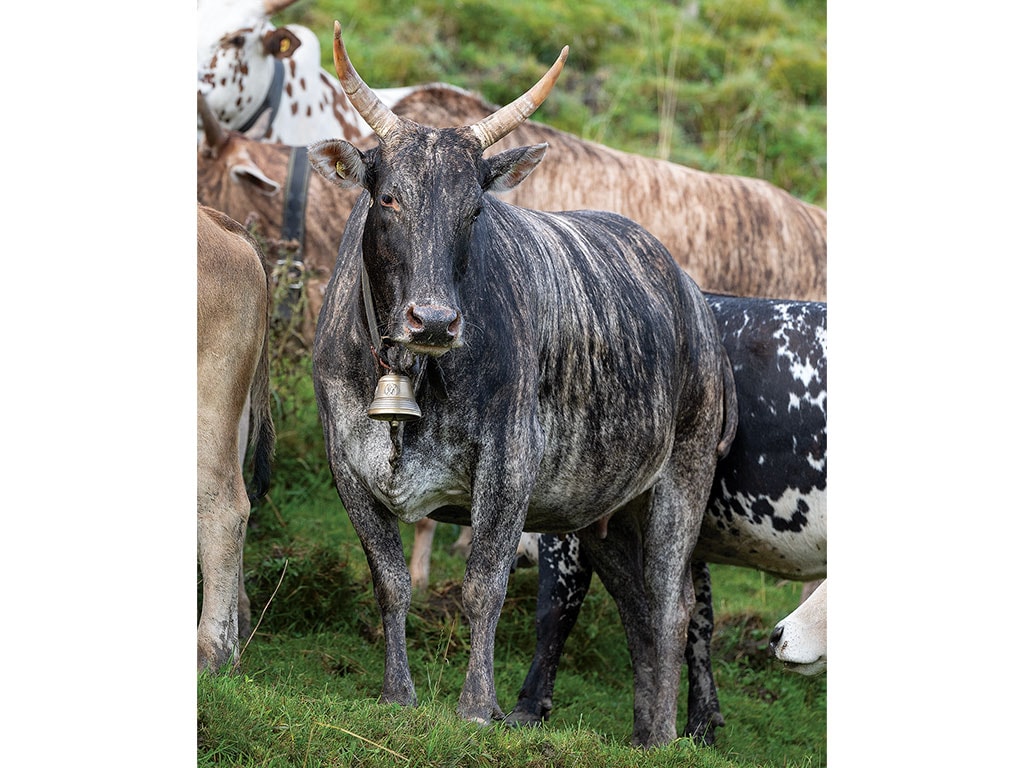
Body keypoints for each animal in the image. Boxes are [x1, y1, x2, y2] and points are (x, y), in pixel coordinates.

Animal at [309, 24, 737, 753]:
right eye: (387, 196)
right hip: (600, 506)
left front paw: (477, 706)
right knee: (637, 603)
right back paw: (643, 729)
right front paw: (397, 695)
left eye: (474, 207)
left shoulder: (508, 466)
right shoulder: (346, 464)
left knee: (672, 603)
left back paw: (660, 736)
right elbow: (390, 580)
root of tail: (691, 294)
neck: (410, 371)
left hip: (684, 474)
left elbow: (484, 585)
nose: (434, 320)